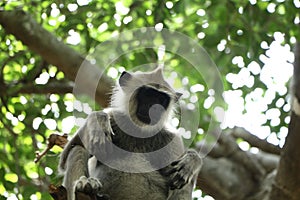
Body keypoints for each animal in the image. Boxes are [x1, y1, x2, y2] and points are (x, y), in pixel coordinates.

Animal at [58, 67, 203, 200]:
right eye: (148, 95)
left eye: (161, 100)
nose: (155, 109)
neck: (139, 130)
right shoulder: (114, 118)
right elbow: (64, 159)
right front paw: (99, 120)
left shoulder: (170, 138)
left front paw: (192, 160)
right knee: (78, 148)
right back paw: (86, 187)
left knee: (182, 178)